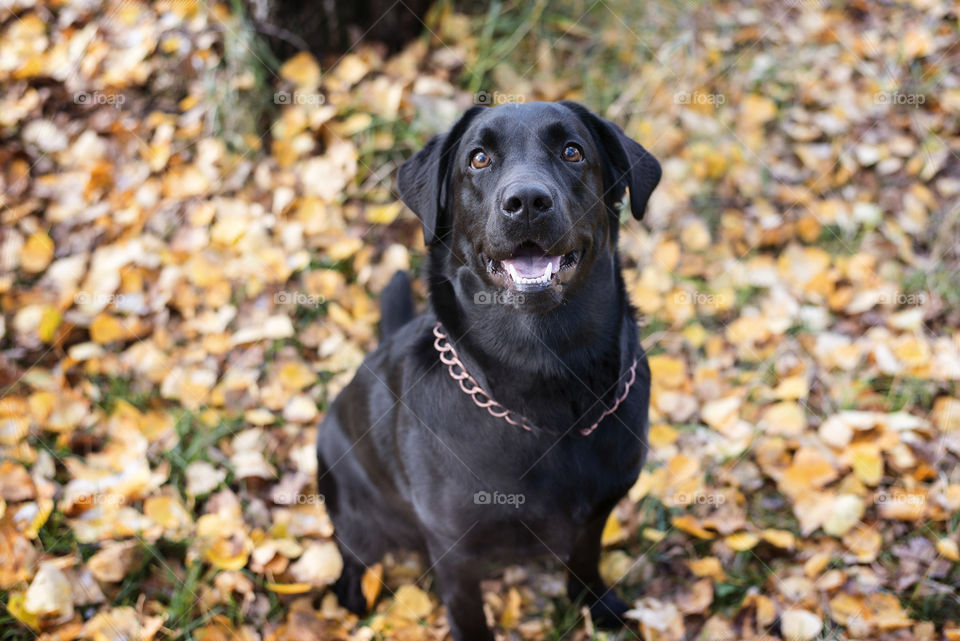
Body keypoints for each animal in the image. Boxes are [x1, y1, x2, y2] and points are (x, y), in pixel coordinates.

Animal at [316, 100, 660, 640]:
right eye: (478, 159)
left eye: (572, 151)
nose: (527, 201)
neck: (545, 377)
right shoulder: (454, 549)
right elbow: (469, 614)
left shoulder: (597, 510)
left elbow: (585, 560)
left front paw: (597, 607)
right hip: (358, 517)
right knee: (353, 561)